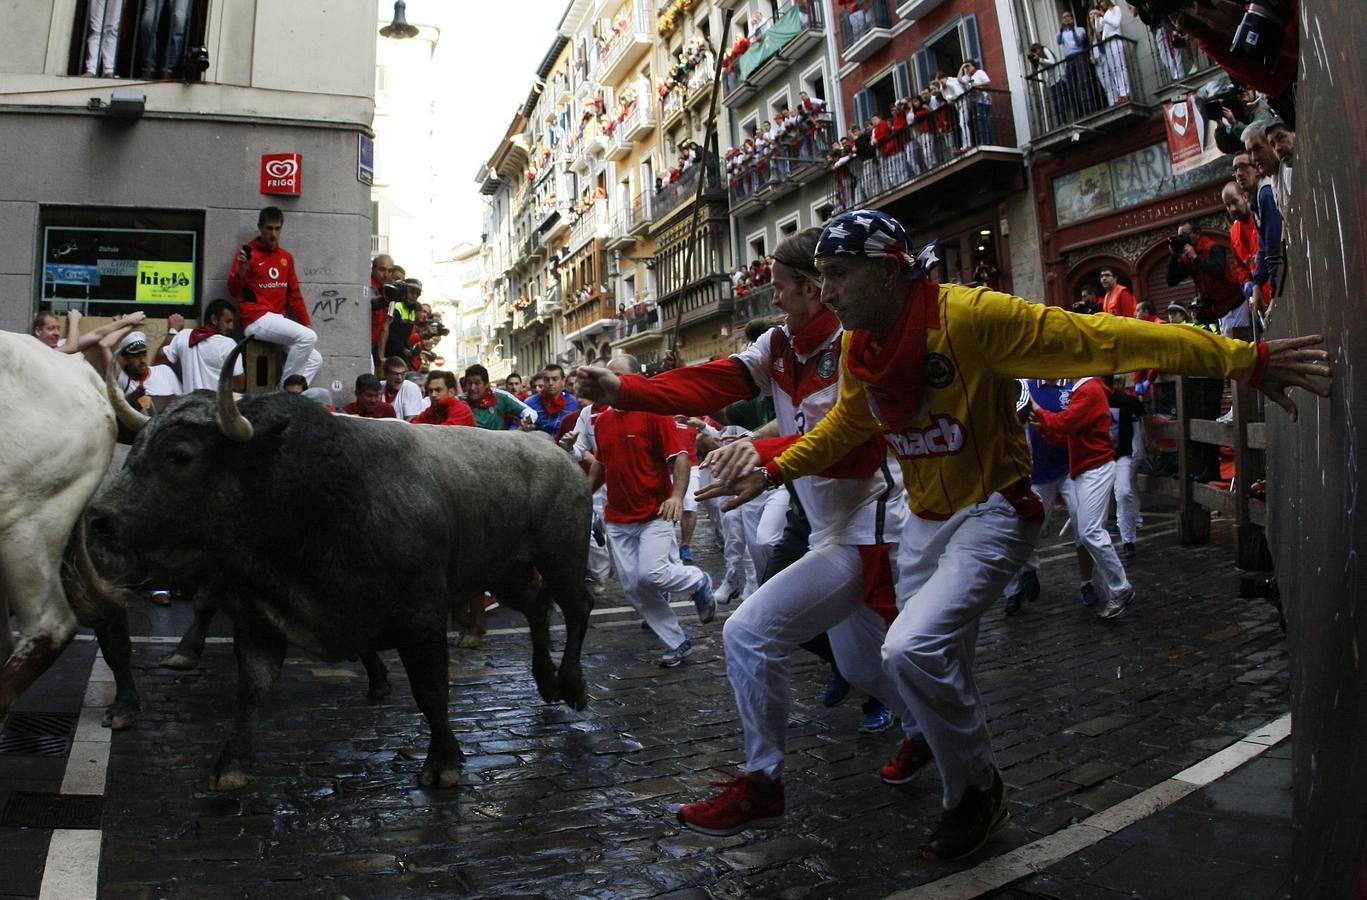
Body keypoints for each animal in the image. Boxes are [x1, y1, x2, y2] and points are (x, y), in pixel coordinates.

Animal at [90, 363, 593, 787]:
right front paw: (232, 764)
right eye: (135, 448)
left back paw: (572, 685)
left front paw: (443, 762)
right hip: (502, 570)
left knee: (577, 606)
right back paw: (547, 681)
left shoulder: (422, 617)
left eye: (179, 455)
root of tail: (550, 450)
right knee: (536, 603)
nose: (99, 519)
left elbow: (431, 690)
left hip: (562, 557)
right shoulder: (258, 620)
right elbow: (251, 690)